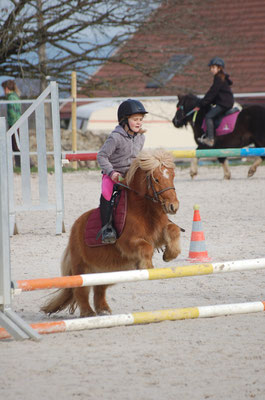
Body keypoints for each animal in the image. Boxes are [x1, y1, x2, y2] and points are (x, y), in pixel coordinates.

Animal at [41, 148, 182, 318]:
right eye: (156, 179)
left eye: (172, 176)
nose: (173, 206)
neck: (144, 209)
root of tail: (76, 227)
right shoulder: (127, 242)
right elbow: (146, 247)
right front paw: (146, 266)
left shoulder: (158, 235)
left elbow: (173, 230)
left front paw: (170, 254)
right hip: (81, 268)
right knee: (80, 291)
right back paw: (88, 313)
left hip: (108, 270)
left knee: (99, 288)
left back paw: (103, 309)